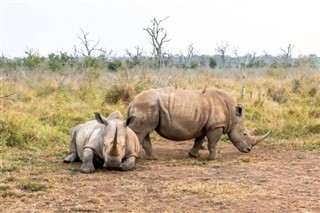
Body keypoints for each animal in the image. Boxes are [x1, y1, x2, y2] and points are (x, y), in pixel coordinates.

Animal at [126, 86, 272, 160]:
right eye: (245, 134)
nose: (249, 150)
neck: (232, 114)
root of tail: (132, 102)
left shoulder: (203, 125)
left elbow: (199, 140)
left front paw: (193, 155)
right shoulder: (215, 126)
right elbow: (212, 142)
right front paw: (213, 158)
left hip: (148, 106)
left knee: (144, 132)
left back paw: (154, 158)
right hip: (146, 105)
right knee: (141, 132)